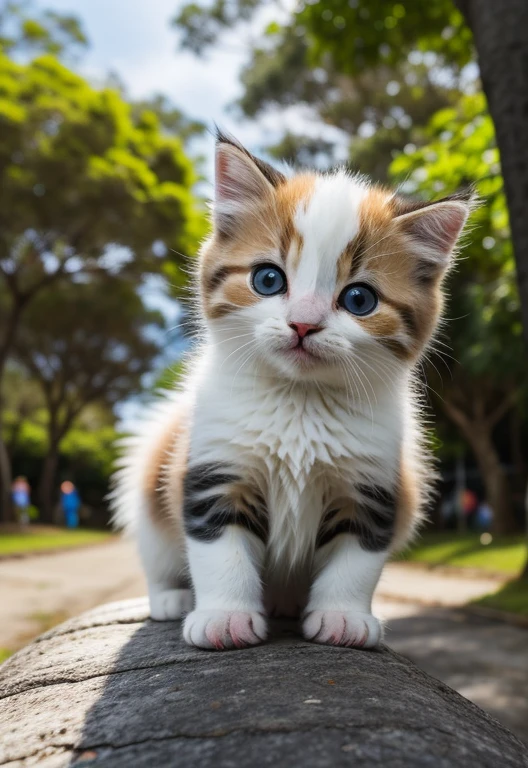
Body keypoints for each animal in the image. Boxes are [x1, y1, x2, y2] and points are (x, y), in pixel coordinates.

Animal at [111, 132, 470, 648]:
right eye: (268, 279)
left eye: (359, 299)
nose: (303, 323)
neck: (300, 400)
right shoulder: (215, 469)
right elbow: (220, 551)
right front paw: (225, 617)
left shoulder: (373, 486)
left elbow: (356, 561)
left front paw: (343, 617)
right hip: (151, 490)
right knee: (156, 548)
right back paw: (170, 598)